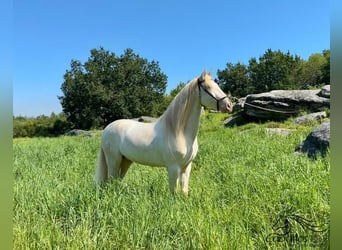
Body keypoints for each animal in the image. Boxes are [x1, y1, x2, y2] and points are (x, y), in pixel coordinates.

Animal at [93, 70, 232, 195]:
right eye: (207, 87)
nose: (229, 105)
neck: (179, 132)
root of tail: (107, 129)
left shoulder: (187, 167)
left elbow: (184, 191)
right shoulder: (173, 168)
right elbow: (173, 192)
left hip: (125, 160)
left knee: (117, 180)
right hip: (114, 160)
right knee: (111, 180)